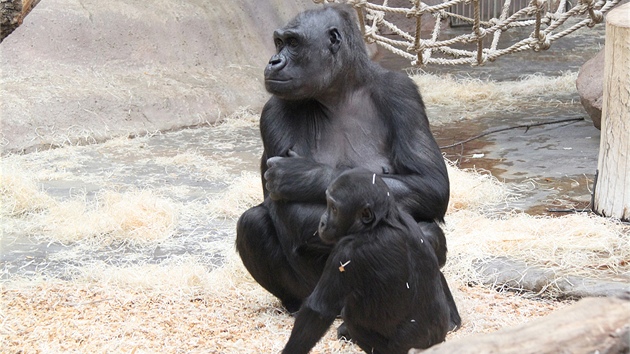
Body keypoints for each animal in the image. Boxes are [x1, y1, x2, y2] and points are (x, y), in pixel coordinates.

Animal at [237, 4, 460, 328]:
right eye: (279, 43)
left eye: (292, 43)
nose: (274, 61)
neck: (338, 92)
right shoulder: (274, 110)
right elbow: (290, 210)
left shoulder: (402, 92)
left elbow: (431, 184)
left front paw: (302, 175)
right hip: (314, 293)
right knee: (253, 223)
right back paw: (297, 305)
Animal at [284, 169, 452, 354]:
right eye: (327, 204)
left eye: (334, 208)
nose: (322, 222)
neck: (380, 223)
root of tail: (435, 342)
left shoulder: (346, 252)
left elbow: (318, 310)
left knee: (351, 316)